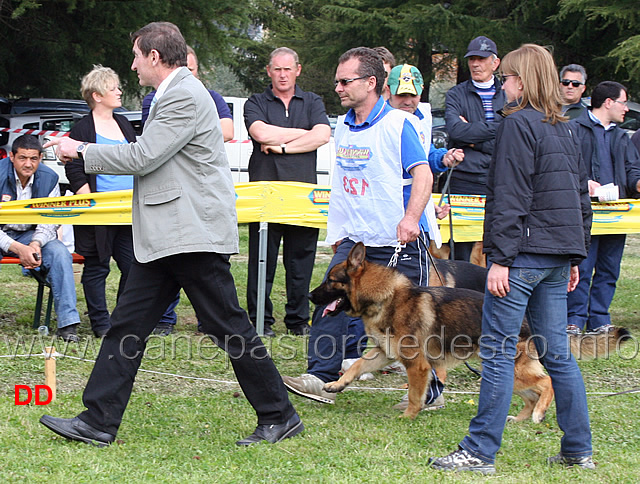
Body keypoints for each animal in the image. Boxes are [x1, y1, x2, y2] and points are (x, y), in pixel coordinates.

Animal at [310, 242, 632, 420]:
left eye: (330, 281)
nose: (311, 297)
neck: (385, 296)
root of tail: (527, 320)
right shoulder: (384, 353)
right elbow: (357, 365)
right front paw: (335, 385)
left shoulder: (417, 365)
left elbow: (415, 394)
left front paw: (409, 416)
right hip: (508, 374)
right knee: (533, 392)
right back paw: (520, 419)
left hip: (514, 370)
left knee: (548, 382)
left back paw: (539, 414)